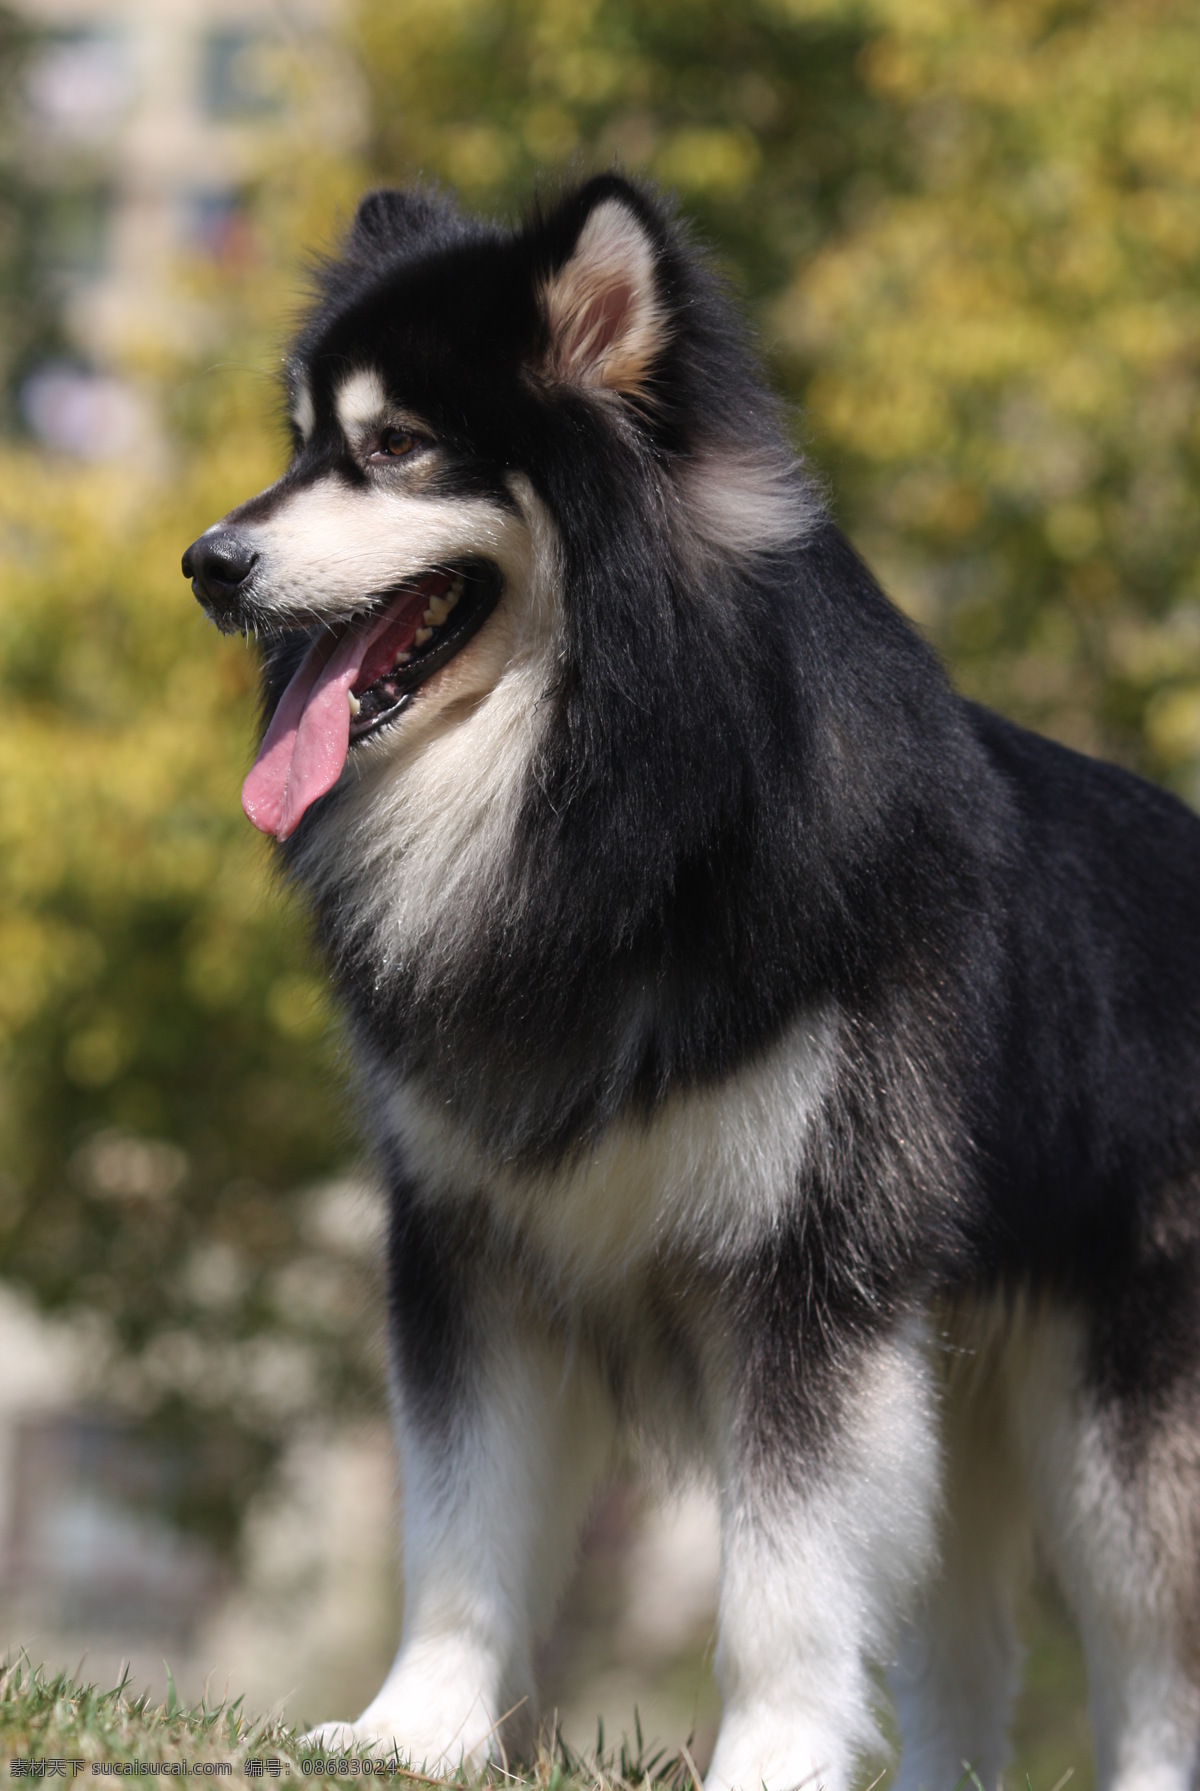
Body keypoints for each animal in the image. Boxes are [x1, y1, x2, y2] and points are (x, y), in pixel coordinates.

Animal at [183, 178, 1200, 1791]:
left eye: (395, 445)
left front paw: (771, 1759)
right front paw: (413, 1730)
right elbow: (461, 1531)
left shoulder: (810, 1273)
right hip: (966, 1379)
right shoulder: (469, 1251)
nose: (207, 562)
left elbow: (785, 1580)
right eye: (297, 445)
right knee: (963, 1646)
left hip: (1118, 1427)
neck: (611, 819)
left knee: (1157, 1672)